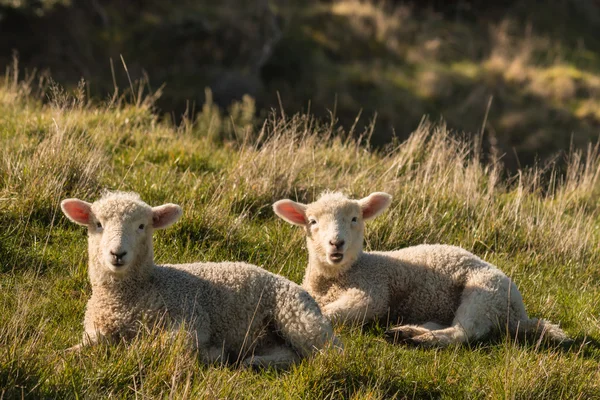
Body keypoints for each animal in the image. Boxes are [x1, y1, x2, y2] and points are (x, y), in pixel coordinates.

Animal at [62, 191, 340, 368]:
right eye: (98, 224)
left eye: (142, 226)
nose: (117, 254)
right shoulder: (96, 329)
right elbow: (87, 345)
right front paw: (68, 354)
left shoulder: (190, 322)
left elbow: (149, 348)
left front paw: (210, 354)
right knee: (290, 355)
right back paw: (256, 362)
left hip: (298, 318)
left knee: (326, 353)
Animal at [274, 191, 568, 346]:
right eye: (312, 221)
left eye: (355, 219)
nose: (337, 243)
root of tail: (519, 315)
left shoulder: (372, 292)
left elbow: (336, 312)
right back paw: (407, 330)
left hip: (485, 294)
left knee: (463, 332)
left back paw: (416, 339)